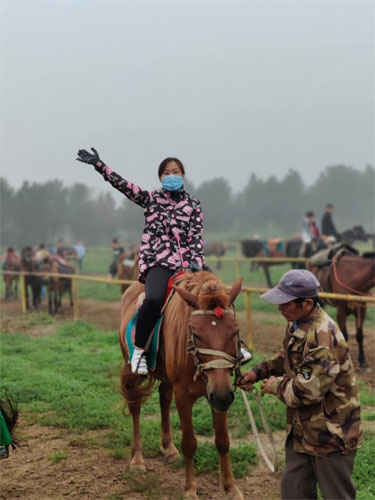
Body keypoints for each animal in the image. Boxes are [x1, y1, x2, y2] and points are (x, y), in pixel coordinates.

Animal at [119, 274, 245, 500]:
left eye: (235, 331)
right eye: (196, 333)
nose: (223, 396)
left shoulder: (218, 393)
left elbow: (223, 441)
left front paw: (231, 488)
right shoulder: (184, 395)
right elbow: (189, 443)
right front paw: (190, 489)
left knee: (163, 398)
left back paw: (169, 448)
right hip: (131, 370)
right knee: (135, 406)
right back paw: (138, 459)